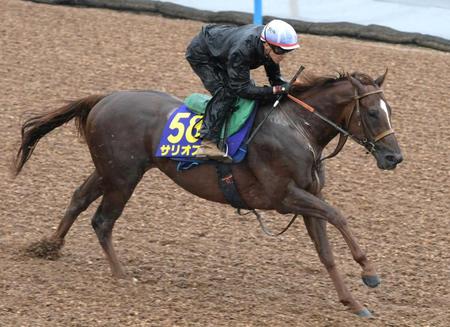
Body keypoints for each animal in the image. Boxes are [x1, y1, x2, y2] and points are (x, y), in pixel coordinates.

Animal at [14, 70, 402, 320]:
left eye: (389, 111)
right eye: (371, 113)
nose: (394, 157)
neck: (295, 128)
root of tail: (105, 97)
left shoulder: (306, 200)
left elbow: (326, 253)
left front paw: (353, 302)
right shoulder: (283, 197)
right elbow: (338, 215)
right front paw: (369, 272)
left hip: (111, 171)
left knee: (79, 198)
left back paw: (49, 246)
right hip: (123, 177)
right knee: (103, 220)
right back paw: (122, 275)